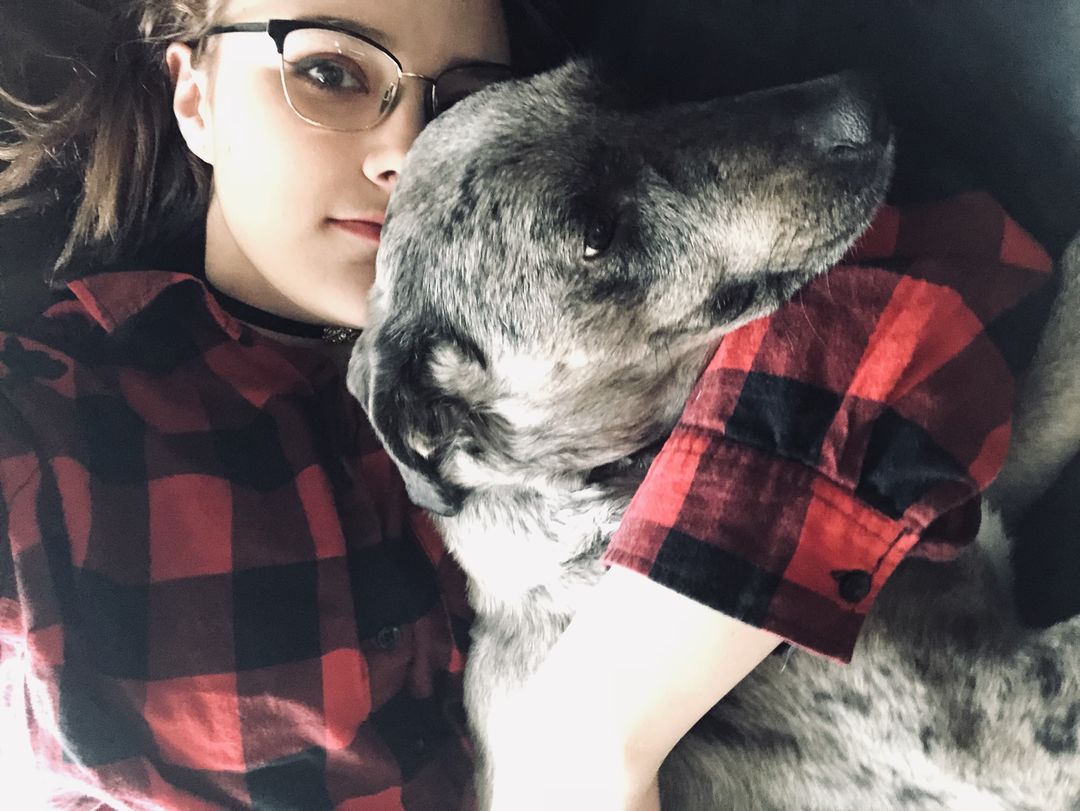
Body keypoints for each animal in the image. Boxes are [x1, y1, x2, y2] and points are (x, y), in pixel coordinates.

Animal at [348, 61, 1080, 809]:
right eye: (598, 233)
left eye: (612, 85)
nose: (860, 103)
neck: (610, 489)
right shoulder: (1017, 722)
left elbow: (1057, 376)